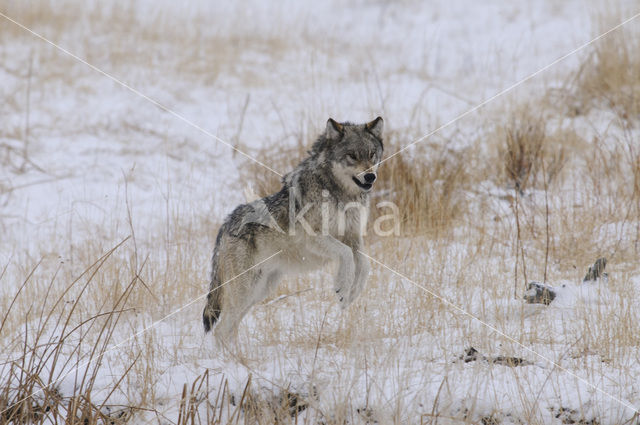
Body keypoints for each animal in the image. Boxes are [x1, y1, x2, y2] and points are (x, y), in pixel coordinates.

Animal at [204, 117, 384, 342]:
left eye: (371, 154)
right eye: (352, 156)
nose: (370, 177)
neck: (341, 195)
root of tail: (225, 224)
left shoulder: (354, 237)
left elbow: (365, 265)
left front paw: (351, 294)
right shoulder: (315, 238)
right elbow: (346, 255)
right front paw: (342, 288)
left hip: (259, 291)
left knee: (229, 329)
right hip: (246, 291)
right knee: (221, 330)